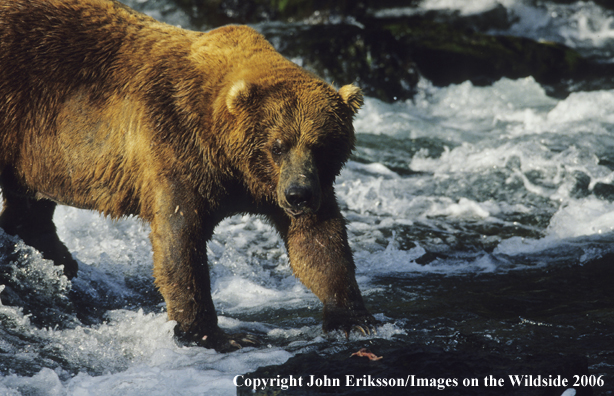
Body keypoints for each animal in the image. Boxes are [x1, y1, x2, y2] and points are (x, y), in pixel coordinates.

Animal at [0, 0, 378, 352]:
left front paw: (353, 319)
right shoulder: (175, 144)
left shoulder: (284, 185)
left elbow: (318, 242)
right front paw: (212, 334)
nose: (298, 195)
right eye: (278, 145)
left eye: (321, 145)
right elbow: (179, 241)